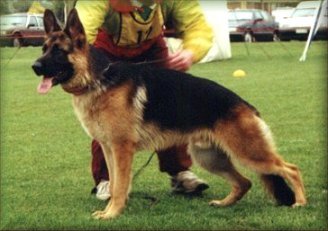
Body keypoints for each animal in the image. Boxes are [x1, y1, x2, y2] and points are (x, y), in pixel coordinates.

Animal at [32, 9, 306, 218]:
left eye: (59, 51)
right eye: (44, 48)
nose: (34, 66)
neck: (97, 79)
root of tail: (246, 105)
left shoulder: (122, 150)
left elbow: (120, 187)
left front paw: (113, 213)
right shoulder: (109, 149)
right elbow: (115, 182)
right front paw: (110, 209)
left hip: (248, 153)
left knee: (291, 169)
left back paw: (301, 202)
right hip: (209, 157)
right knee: (245, 182)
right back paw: (224, 203)